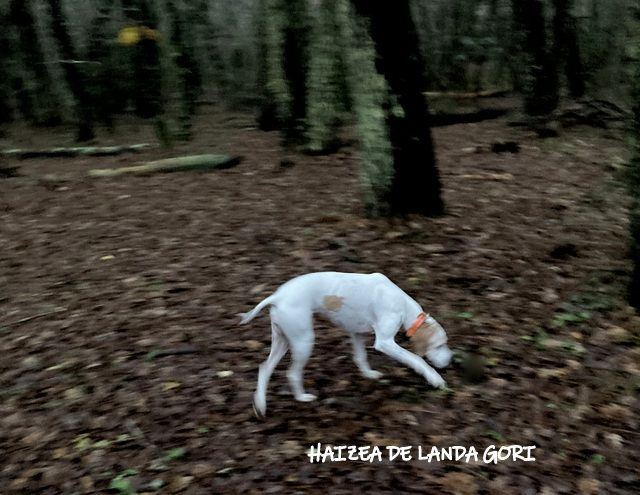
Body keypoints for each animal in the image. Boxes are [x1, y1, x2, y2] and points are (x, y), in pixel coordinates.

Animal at [238, 274, 452, 416]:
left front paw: (368, 374)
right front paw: (435, 379)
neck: (402, 304)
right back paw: (302, 398)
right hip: (303, 341)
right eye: (440, 345)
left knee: (265, 368)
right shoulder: (384, 342)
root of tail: (277, 297)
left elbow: (360, 356)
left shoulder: (357, 333)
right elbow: (417, 359)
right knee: (292, 372)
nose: (451, 359)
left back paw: (261, 405)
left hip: (282, 340)